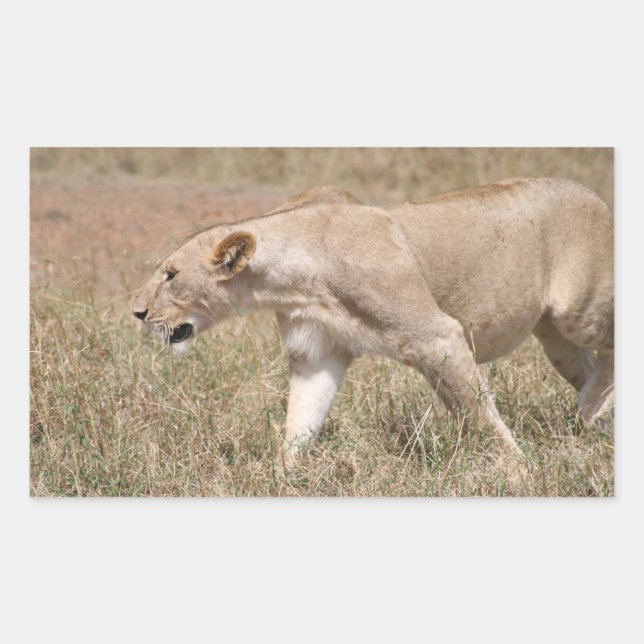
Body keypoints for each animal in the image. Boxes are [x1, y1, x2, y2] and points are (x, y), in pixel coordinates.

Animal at [133, 178, 614, 467]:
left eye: (171, 275)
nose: (137, 312)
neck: (291, 279)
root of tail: (594, 195)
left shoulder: (436, 336)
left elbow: (477, 411)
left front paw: (517, 471)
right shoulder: (317, 353)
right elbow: (301, 420)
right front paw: (283, 474)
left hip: (577, 309)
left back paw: (589, 410)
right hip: (555, 338)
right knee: (588, 366)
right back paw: (591, 421)